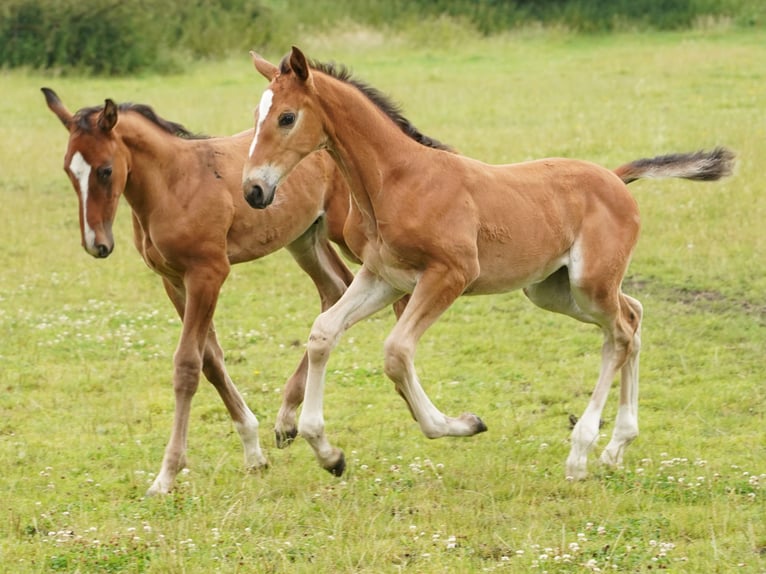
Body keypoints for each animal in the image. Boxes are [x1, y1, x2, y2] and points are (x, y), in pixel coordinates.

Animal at [45, 89, 360, 496]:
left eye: (105, 170)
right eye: (70, 171)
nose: (95, 244)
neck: (174, 184)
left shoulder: (208, 274)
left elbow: (187, 366)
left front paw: (166, 475)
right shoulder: (173, 279)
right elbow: (210, 360)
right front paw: (254, 452)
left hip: (350, 232)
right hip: (304, 238)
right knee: (336, 288)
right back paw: (287, 420)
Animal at [240, 48, 736, 482]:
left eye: (286, 117)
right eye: (255, 118)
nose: (253, 191)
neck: (398, 180)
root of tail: (615, 178)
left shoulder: (450, 274)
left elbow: (397, 351)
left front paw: (462, 424)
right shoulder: (383, 276)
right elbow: (324, 332)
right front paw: (327, 452)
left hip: (589, 284)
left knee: (620, 334)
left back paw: (581, 453)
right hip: (555, 289)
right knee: (632, 316)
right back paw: (616, 447)